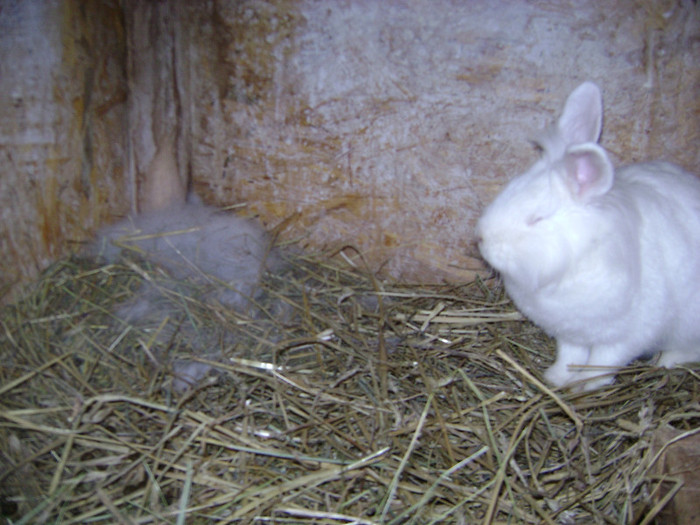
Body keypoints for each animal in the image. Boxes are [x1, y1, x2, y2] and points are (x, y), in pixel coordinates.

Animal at [478, 82, 700, 388]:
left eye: (537, 218)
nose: (481, 239)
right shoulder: (570, 332)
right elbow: (570, 355)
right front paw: (557, 378)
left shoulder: (625, 337)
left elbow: (602, 363)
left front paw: (587, 385)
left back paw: (667, 360)